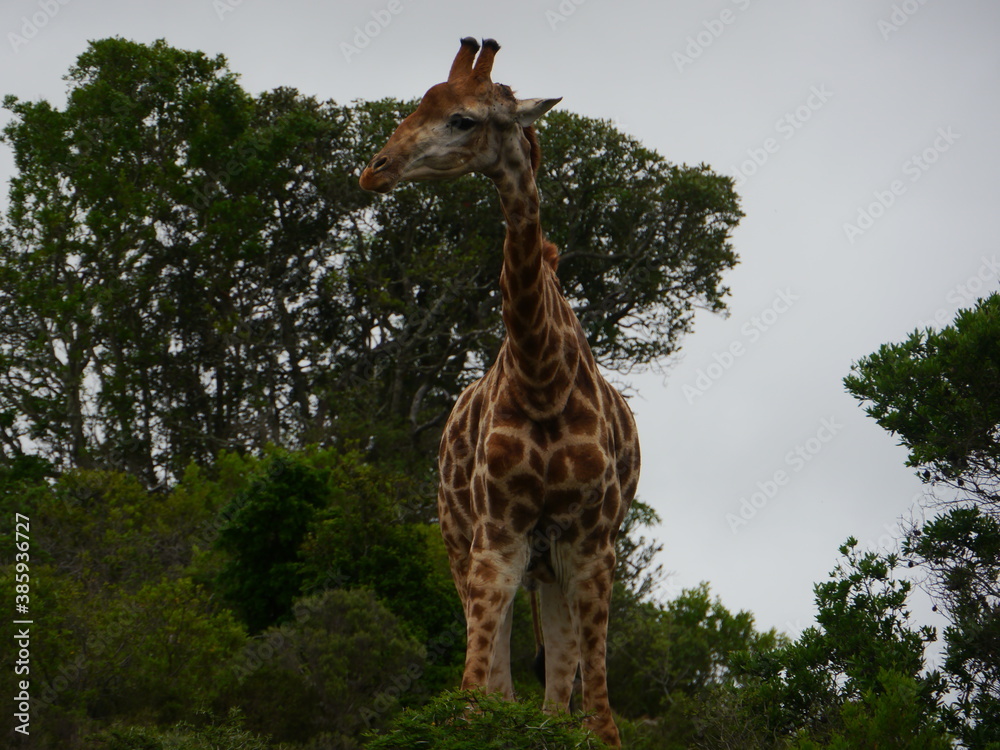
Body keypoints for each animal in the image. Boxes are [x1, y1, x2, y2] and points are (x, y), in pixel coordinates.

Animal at [359, 37, 640, 748]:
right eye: (419, 105)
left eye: (464, 119)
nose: (374, 171)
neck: (542, 380)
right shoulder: (496, 537)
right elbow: (473, 696)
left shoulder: (592, 544)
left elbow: (599, 715)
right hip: (462, 541)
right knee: (504, 682)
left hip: (551, 564)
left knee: (556, 685)